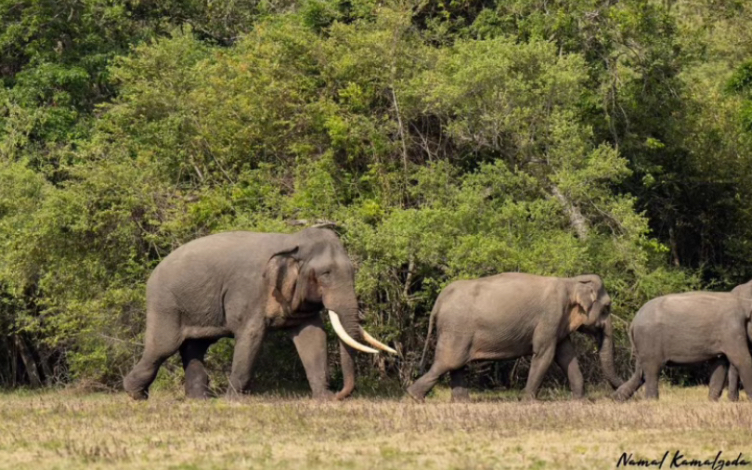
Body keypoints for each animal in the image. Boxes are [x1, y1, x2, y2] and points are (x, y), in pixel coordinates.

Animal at [123, 228, 394, 400]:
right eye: (326, 273)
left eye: (353, 271)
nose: (339, 394)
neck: (290, 241)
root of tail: (153, 272)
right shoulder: (249, 290)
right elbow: (251, 336)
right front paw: (235, 401)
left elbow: (312, 335)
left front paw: (323, 399)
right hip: (166, 304)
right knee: (163, 347)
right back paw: (136, 394)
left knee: (195, 346)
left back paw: (199, 400)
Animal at [406, 274, 624, 402]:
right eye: (607, 307)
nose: (614, 394)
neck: (570, 281)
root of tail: (439, 300)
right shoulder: (550, 316)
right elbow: (545, 354)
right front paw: (530, 402)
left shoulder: (559, 322)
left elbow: (566, 356)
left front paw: (582, 402)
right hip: (456, 328)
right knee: (448, 362)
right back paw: (415, 397)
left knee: (456, 364)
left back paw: (461, 402)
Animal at [612, 288, 752, 402]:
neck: (744, 302)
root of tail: (633, 322)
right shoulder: (731, 328)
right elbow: (742, 360)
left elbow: (720, 364)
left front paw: (712, 401)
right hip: (649, 338)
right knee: (652, 370)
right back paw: (652, 401)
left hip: (643, 344)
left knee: (640, 373)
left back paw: (617, 398)